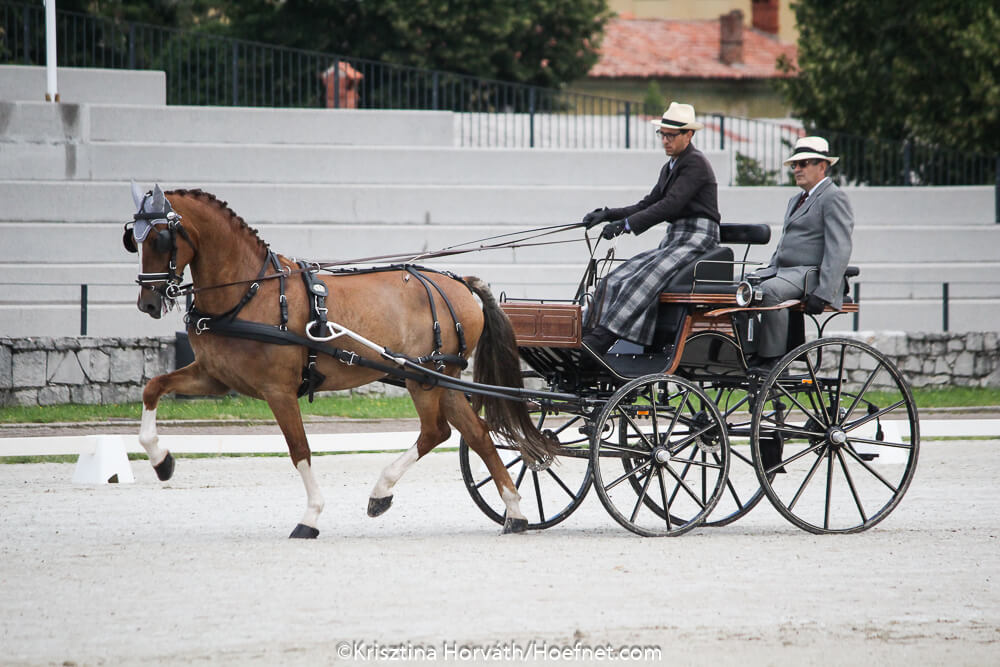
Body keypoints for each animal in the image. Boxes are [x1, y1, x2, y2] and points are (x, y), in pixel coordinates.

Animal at [124, 184, 556, 536]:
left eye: (161, 239)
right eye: (133, 239)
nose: (147, 303)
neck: (251, 292)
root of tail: (460, 283)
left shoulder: (278, 390)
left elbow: (299, 449)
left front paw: (310, 517)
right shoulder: (215, 378)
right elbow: (153, 388)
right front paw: (161, 460)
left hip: (423, 377)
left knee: (436, 432)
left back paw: (382, 491)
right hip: (441, 379)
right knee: (477, 435)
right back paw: (515, 513)